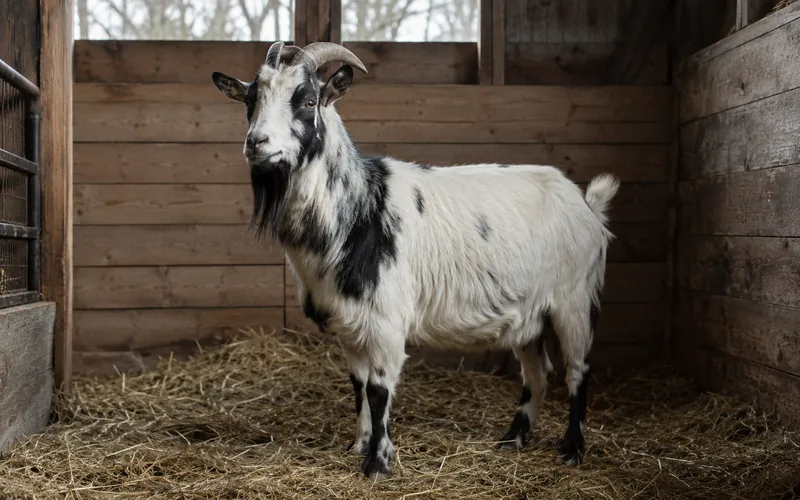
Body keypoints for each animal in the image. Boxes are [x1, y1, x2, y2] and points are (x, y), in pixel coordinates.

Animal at [211, 40, 620, 479]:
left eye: (306, 100)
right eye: (250, 100)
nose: (257, 143)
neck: (358, 208)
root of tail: (587, 203)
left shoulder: (387, 321)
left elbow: (378, 389)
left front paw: (377, 463)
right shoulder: (348, 322)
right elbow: (358, 386)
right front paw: (360, 445)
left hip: (574, 300)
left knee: (578, 369)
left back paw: (572, 449)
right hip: (530, 316)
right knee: (538, 372)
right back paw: (514, 439)